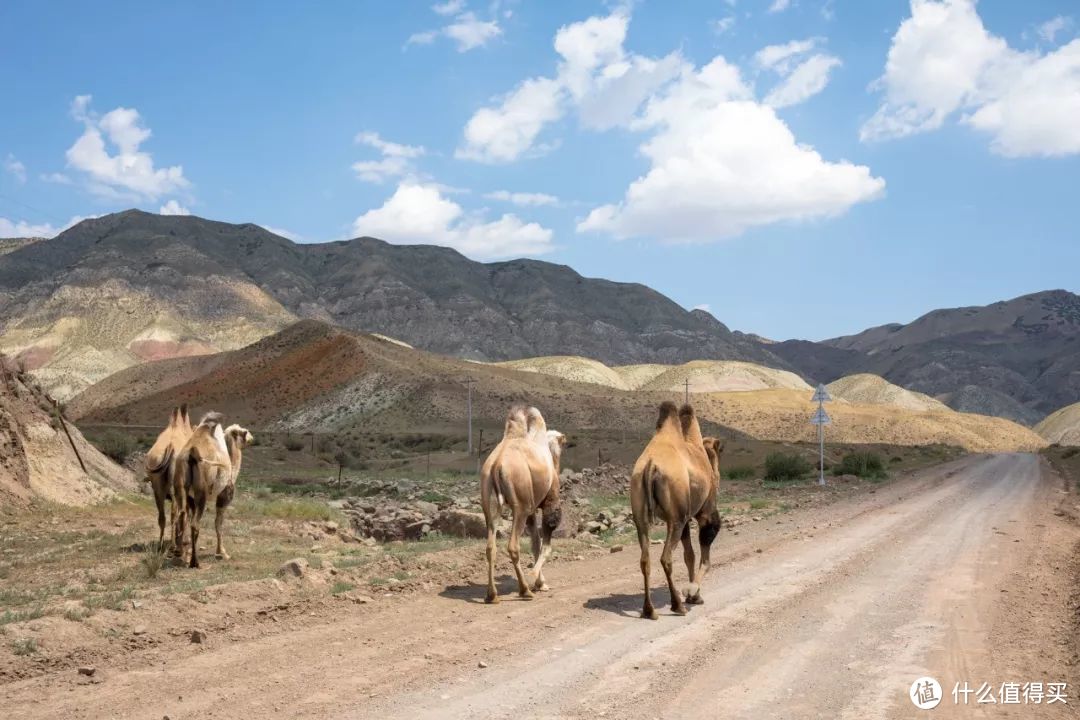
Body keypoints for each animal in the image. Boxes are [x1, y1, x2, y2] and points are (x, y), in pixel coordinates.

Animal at [143, 405, 192, 552]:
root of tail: (170, 447)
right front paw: (185, 540)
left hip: (157, 484)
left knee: (162, 515)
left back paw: (161, 544)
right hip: (177, 486)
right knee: (178, 512)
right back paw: (175, 545)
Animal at [172, 414, 234, 565]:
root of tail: (191, 454)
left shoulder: (191, 497)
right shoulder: (225, 494)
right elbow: (218, 523)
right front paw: (222, 553)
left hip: (181, 489)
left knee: (182, 515)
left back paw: (180, 553)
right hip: (202, 493)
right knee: (195, 524)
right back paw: (195, 562)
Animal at [481, 405, 565, 604]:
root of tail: (497, 465)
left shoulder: (532, 510)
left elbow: (535, 542)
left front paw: (540, 582)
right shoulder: (549, 503)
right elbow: (545, 544)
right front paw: (539, 582)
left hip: (490, 503)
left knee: (490, 547)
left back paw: (492, 595)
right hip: (520, 506)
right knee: (513, 546)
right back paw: (525, 590)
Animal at [630, 399, 721, 621]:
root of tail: (651, 466)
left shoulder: (687, 518)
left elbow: (690, 555)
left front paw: (692, 594)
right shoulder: (705, 514)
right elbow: (704, 557)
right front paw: (693, 593)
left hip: (640, 514)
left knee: (645, 559)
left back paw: (649, 610)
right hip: (675, 518)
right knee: (666, 558)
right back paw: (677, 605)